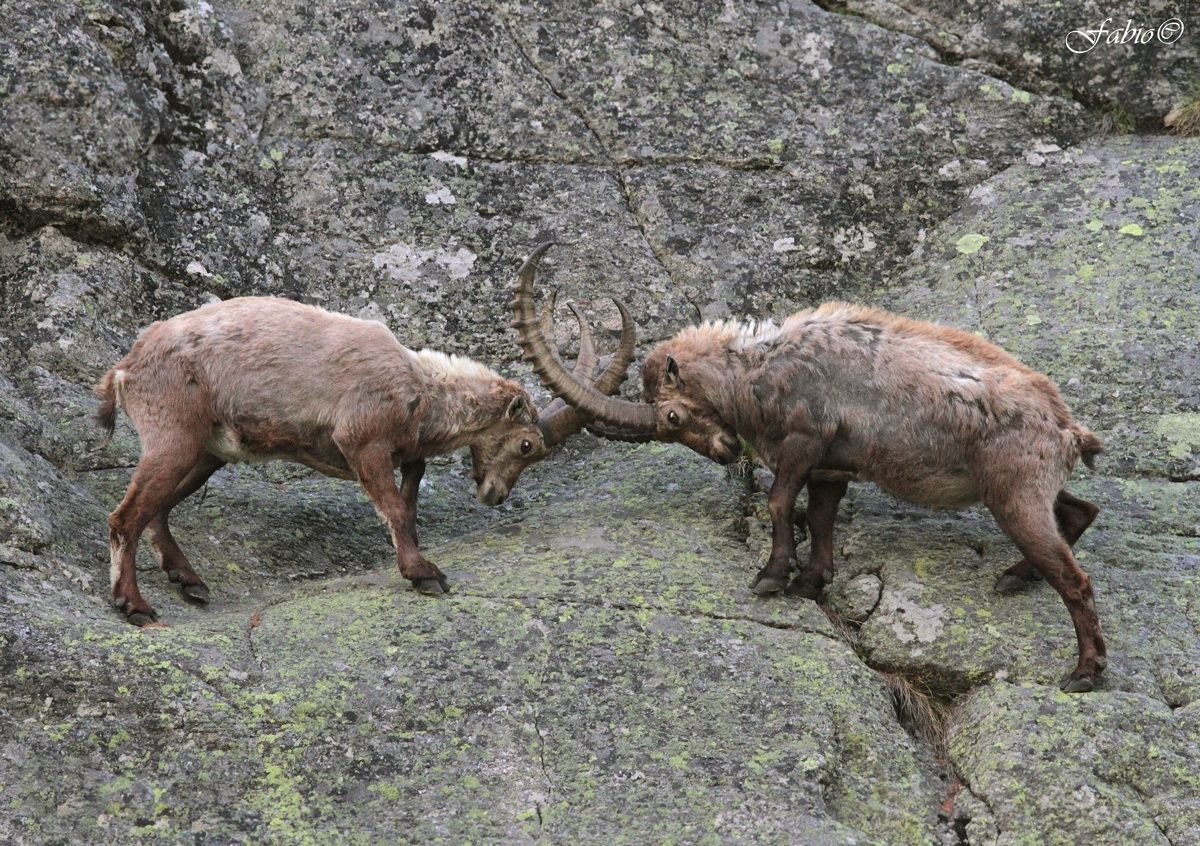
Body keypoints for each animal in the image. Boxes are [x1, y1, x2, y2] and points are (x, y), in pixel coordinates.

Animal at [95, 292, 634, 625]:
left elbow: (409, 506)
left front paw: (417, 561)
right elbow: (393, 508)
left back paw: (188, 580)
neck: (421, 390)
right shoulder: (362, 442)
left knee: (157, 509)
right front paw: (425, 575)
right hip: (174, 437)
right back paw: (135, 605)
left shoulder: (405, 455)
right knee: (125, 516)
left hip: (206, 452)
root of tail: (125, 367)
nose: (495, 495)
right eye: (527, 445)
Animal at [512, 243, 1107, 693]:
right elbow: (820, 519)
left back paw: (1084, 672)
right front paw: (811, 581)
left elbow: (779, 500)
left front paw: (772, 576)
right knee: (1080, 511)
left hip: (1014, 495)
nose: (725, 451)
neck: (755, 370)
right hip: (1022, 489)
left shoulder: (803, 441)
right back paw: (1016, 575)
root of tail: (1066, 428)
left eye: (674, 415)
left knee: (1076, 580)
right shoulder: (831, 467)